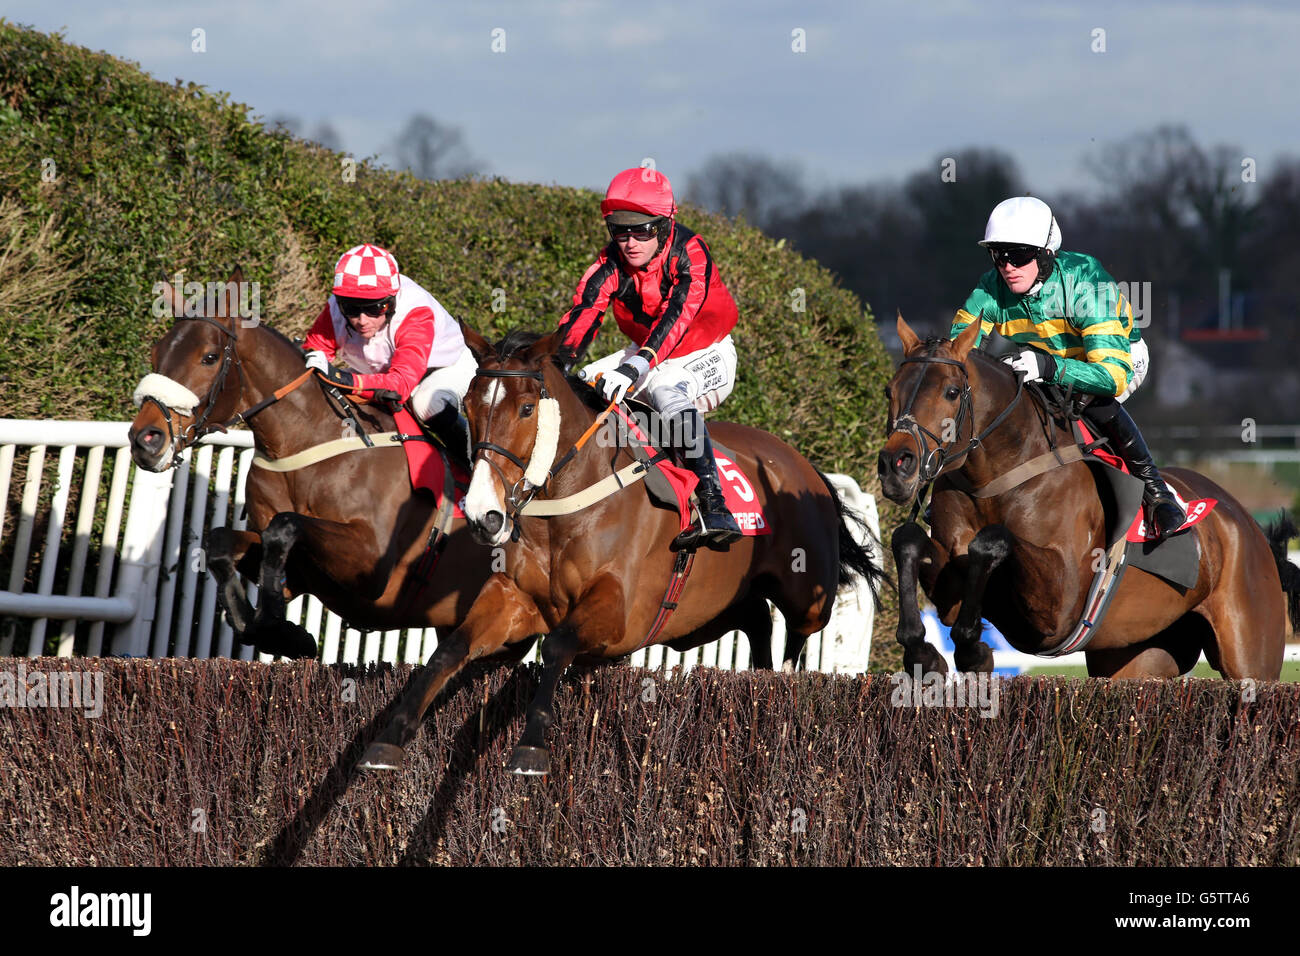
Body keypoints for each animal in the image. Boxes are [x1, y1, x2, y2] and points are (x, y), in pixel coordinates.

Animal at [126, 267, 499, 658]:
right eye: (156, 353)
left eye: (209, 357)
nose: (145, 439)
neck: (304, 443)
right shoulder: (295, 562)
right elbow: (220, 543)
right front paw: (272, 629)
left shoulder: (373, 564)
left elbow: (284, 526)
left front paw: (274, 624)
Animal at [356, 329, 883, 780]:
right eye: (466, 405)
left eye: (526, 409)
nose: (484, 515)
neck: (568, 502)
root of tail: (806, 466)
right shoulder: (513, 598)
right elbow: (451, 648)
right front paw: (387, 738)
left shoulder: (620, 611)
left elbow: (558, 645)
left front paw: (530, 748)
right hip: (701, 618)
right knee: (755, 618)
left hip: (806, 593)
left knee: (798, 633)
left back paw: (786, 688)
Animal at [873, 314, 1300, 681]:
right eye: (889, 390)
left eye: (951, 392)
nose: (896, 465)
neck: (995, 478)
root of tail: (1247, 525)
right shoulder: (952, 579)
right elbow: (907, 540)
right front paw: (923, 651)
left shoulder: (1058, 606)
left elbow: (992, 540)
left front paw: (970, 649)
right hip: (1136, 654)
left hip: (1249, 653)